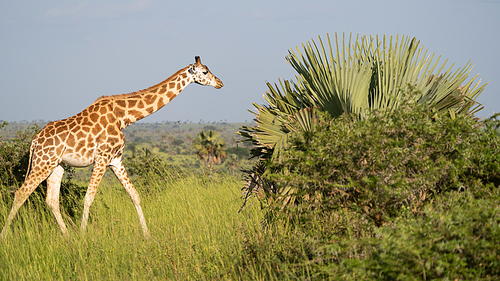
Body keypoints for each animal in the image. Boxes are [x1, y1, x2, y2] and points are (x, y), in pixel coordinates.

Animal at [0, 55, 223, 237]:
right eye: (205, 72)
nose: (220, 82)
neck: (124, 117)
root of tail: (34, 141)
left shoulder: (116, 159)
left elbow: (135, 195)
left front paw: (147, 236)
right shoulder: (103, 157)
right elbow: (88, 197)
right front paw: (83, 237)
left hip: (57, 165)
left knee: (51, 200)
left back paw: (68, 237)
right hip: (43, 162)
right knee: (21, 193)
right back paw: (6, 236)